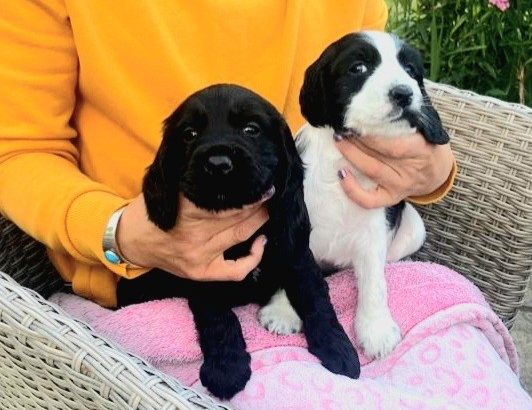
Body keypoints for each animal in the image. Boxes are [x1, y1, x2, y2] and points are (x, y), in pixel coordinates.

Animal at [116, 85, 358, 398]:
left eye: (251, 129)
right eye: (189, 134)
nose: (218, 164)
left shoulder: (297, 256)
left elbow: (317, 300)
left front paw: (339, 349)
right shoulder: (204, 274)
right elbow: (220, 320)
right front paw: (227, 369)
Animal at [258, 32, 448, 358]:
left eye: (411, 70)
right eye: (358, 68)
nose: (404, 93)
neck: (343, 164)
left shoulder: (375, 229)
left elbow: (374, 282)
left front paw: (376, 329)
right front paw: (283, 311)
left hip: (413, 226)